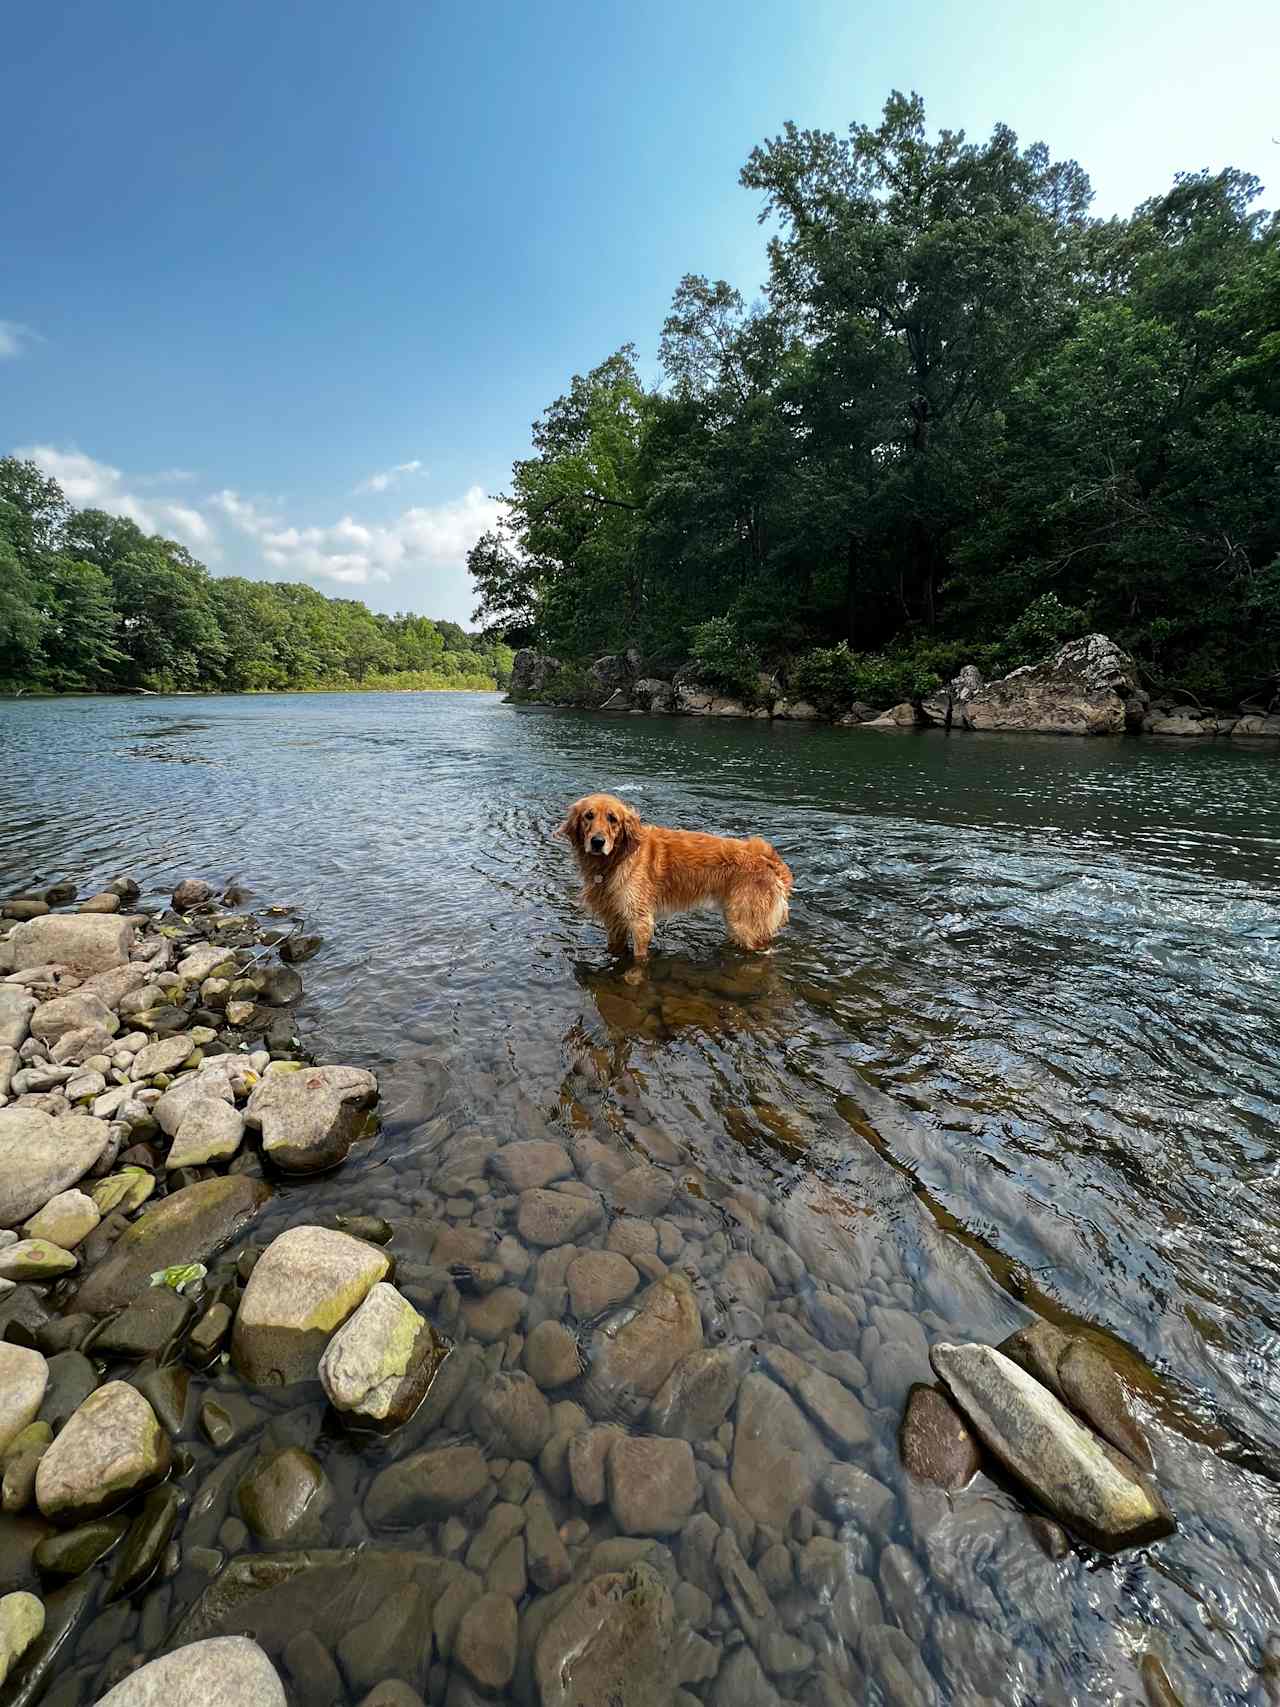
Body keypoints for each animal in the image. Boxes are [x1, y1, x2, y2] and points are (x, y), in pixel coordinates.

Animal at [559, 788, 791, 962]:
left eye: (612, 819)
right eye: (588, 816)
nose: (597, 842)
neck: (616, 859)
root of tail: (767, 858)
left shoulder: (640, 921)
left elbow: (639, 957)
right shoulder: (614, 920)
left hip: (744, 925)